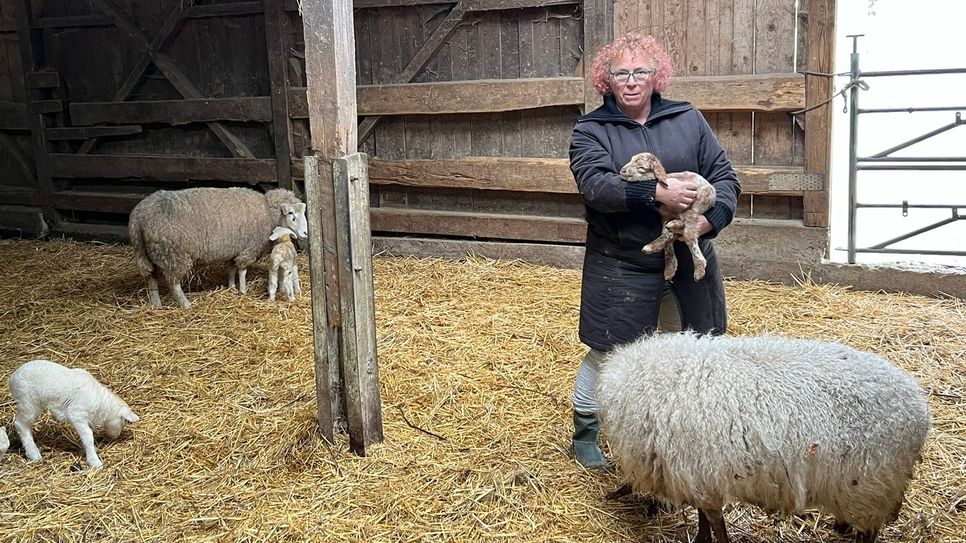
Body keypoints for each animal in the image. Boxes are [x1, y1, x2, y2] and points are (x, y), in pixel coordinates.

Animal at [9, 360, 140, 470]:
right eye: (123, 421)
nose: (116, 436)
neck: (100, 402)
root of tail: (13, 378)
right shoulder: (77, 414)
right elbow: (88, 436)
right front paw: (94, 461)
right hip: (28, 402)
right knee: (20, 424)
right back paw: (33, 454)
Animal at [129, 187, 308, 308]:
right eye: (291, 214)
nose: (306, 233)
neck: (268, 212)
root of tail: (137, 218)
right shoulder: (248, 249)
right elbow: (242, 270)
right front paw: (243, 290)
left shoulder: (234, 248)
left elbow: (231, 269)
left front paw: (231, 287)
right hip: (173, 255)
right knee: (173, 284)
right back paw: (186, 304)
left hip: (148, 255)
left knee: (151, 278)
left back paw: (156, 305)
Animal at [600, 332, 932, 543]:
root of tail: (919, 408)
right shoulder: (701, 476)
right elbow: (705, 517)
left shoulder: (697, 473)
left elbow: (714, 521)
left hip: (871, 486)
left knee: (869, 533)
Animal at [620, 152, 720, 280]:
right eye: (631, 160)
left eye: (642, 168)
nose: (623, 170)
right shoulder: (664, 215)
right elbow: (667, 237)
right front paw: (669, 270)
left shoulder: (685, 210)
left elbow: (688, 236)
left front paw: (699, 270)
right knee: (670, 232)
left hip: (701, 200)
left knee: (686, 233)